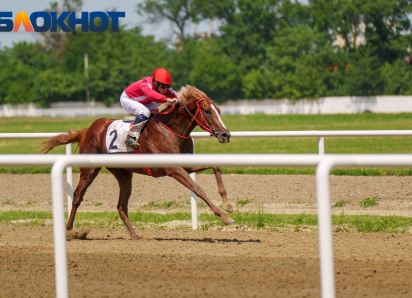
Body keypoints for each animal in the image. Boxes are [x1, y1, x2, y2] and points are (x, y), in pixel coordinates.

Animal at [41, 84, 235, 240]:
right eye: (207, 111)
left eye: (219, 110)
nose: (225, 134)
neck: (171, 128)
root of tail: (88, 129)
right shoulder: (173, 168)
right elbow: (198, 189)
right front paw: (225, 217)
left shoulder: (185, 165)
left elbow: (215, 166)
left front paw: (227, 204)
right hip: (90, 169)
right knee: (77, 196)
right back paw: (69, 229)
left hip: (123, 174)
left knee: (121, 206)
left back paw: (135, 235)